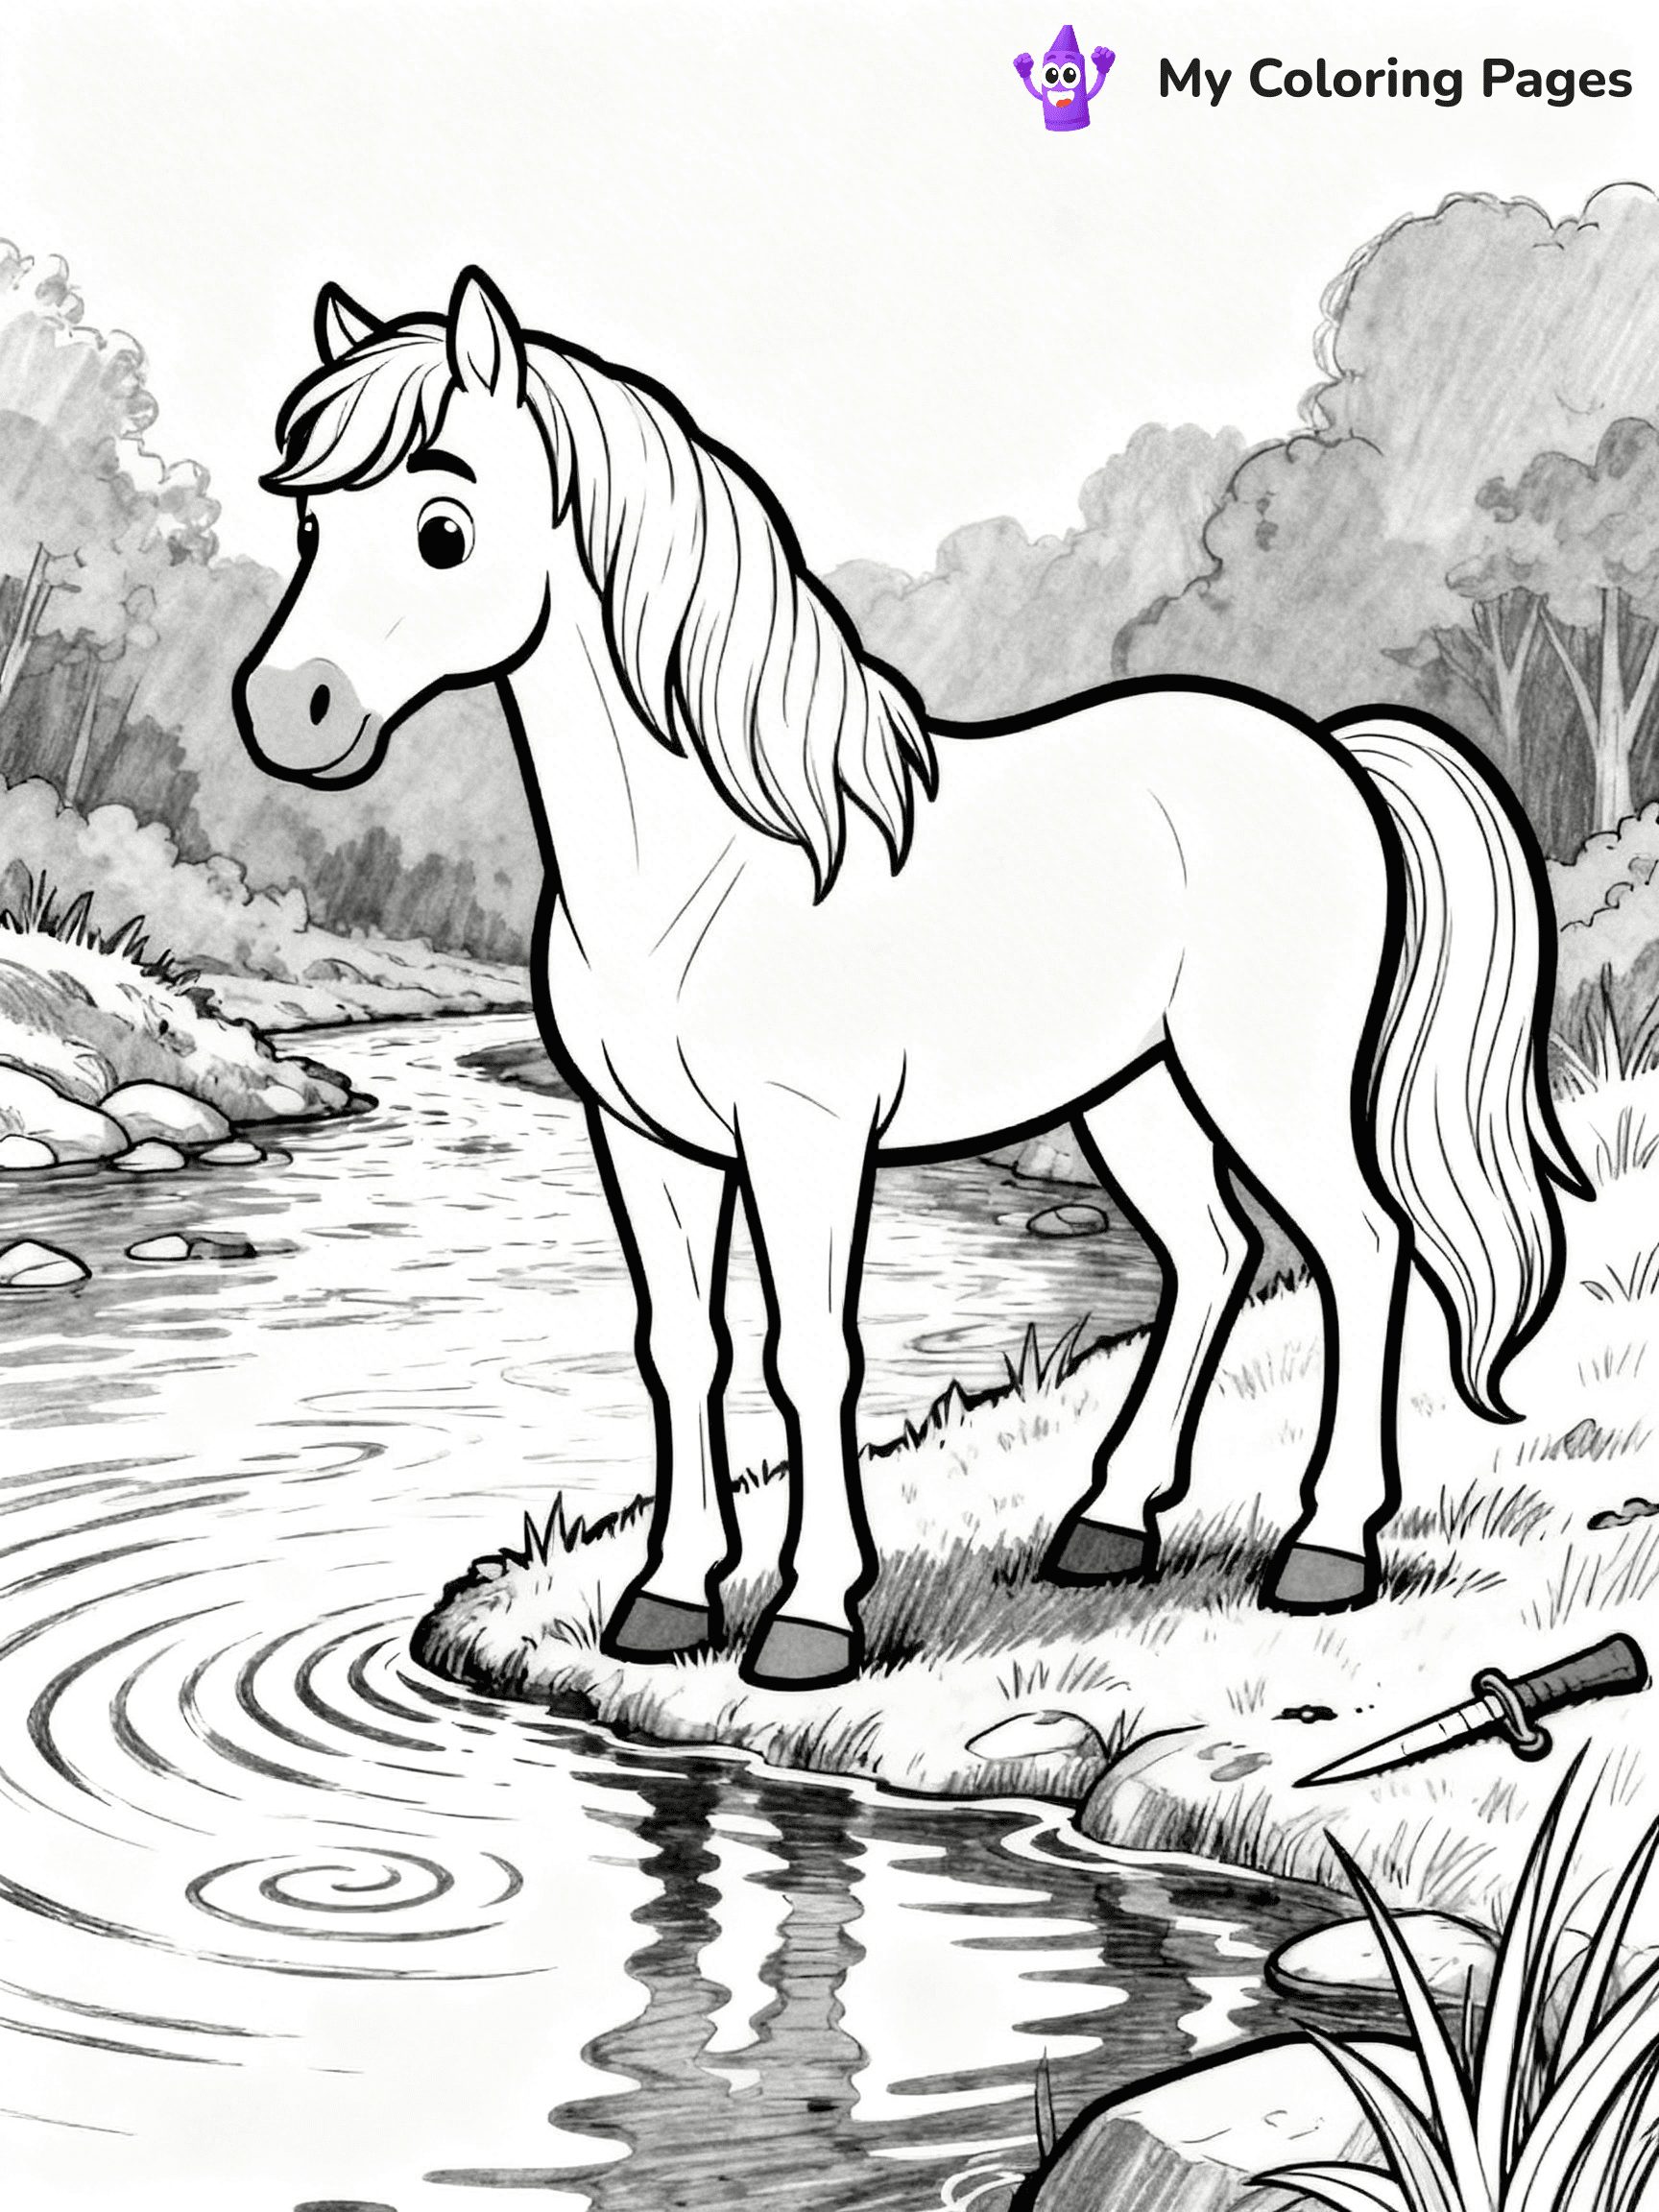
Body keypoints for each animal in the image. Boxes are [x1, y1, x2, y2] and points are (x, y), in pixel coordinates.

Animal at [232, 267, 1586, 1691]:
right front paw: (667, 1599)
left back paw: (1327, 1552)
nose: (289, 710)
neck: (715, 859)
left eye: (444, 530)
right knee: (1212, 1254)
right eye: (314, 518)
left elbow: (811, 1355)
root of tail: (1332, 752)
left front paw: (810, 1617)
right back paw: (1107, 1525)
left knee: (1361, 1249)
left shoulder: (806, 1137)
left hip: (1265, 1082)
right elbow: (683, 1349)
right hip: (1135, 1092)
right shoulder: (643, 1140)